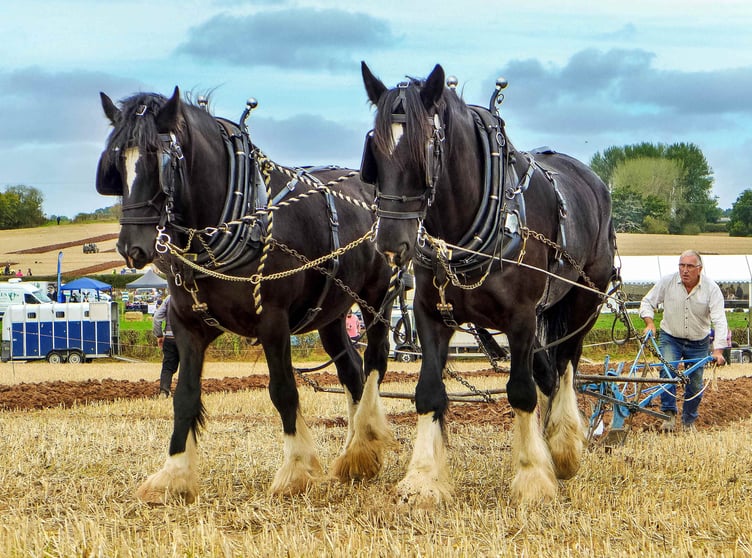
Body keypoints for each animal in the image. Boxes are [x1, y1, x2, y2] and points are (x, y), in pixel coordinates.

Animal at [96, 87, 397, 504]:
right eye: (116, 163)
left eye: (160, 159)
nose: (132, 248)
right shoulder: (186, 325)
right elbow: (185, 395)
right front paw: (174, 473)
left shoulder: (273, 322)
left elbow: (283, 391)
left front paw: (296, 470)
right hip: (332, 314)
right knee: (351, 370)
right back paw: (358, 454)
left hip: (377, 299)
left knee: (374, 364)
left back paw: (362, 442)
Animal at [360, 63, 616, 506]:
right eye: (374, 151)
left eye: (425, 150)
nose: (391, 242)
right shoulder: (431, 314)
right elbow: (428, 391)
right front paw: (423, 479)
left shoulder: (521, 318)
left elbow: (521, 391)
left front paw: (533, 478)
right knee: (549, 372)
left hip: (584, 300)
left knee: (566, 364)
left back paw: (564, 448)